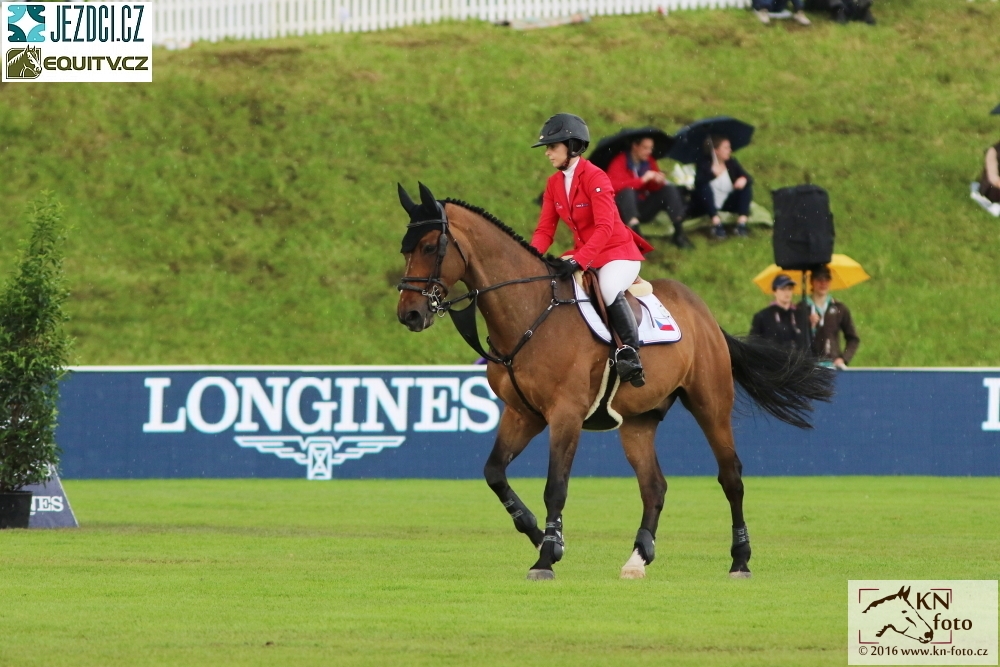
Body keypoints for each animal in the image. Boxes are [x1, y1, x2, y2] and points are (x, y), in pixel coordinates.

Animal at [395, 182, 834, 580]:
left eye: (430, 247)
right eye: (405, 249)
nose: (409, 315)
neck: (530, 313)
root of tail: (703, 313)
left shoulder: (565, 415)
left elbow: (555, 486)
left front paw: (546, 557)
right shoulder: (523, 414)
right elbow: (494, 474)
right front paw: (542, 537)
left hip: (710, 403)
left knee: (731, 478)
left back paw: (740, 560)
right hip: (639, 422)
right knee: (654, 486)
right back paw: (638, 558)